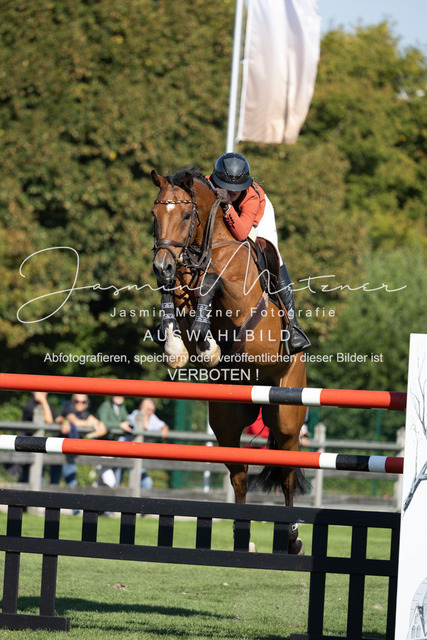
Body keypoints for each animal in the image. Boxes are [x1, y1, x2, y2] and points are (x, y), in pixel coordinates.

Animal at [151, 166, 308, 554]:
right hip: (226, 420)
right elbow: (172, 297)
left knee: (287, 474)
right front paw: (178, 349)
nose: (161, 266)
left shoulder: (238, 296)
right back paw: (240, 536)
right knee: (239, 475)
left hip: (287, 418)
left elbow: (210, 283)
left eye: (187, 215)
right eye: (154, 213)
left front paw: (205, 345)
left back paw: (292, 538)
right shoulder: (179, 287)